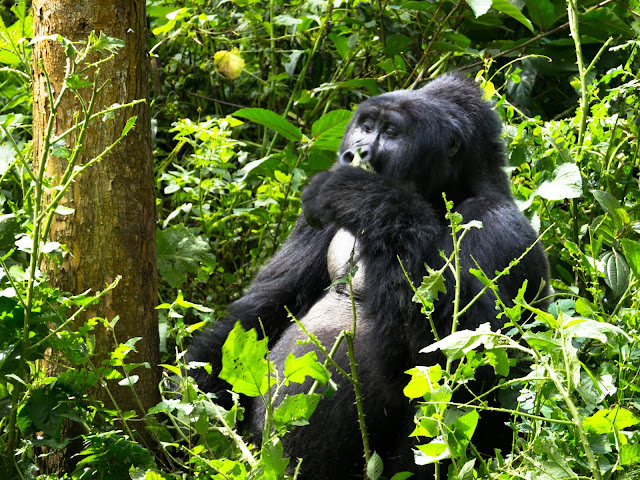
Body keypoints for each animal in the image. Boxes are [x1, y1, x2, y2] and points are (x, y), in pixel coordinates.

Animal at [186, 73, 552, 478]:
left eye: (391, 132)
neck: (446, 195)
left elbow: (476, 358)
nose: (354, 153)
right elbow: (268, 305)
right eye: (365, 126)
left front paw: (364, 194)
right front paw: (194, 395)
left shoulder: (500, 226)